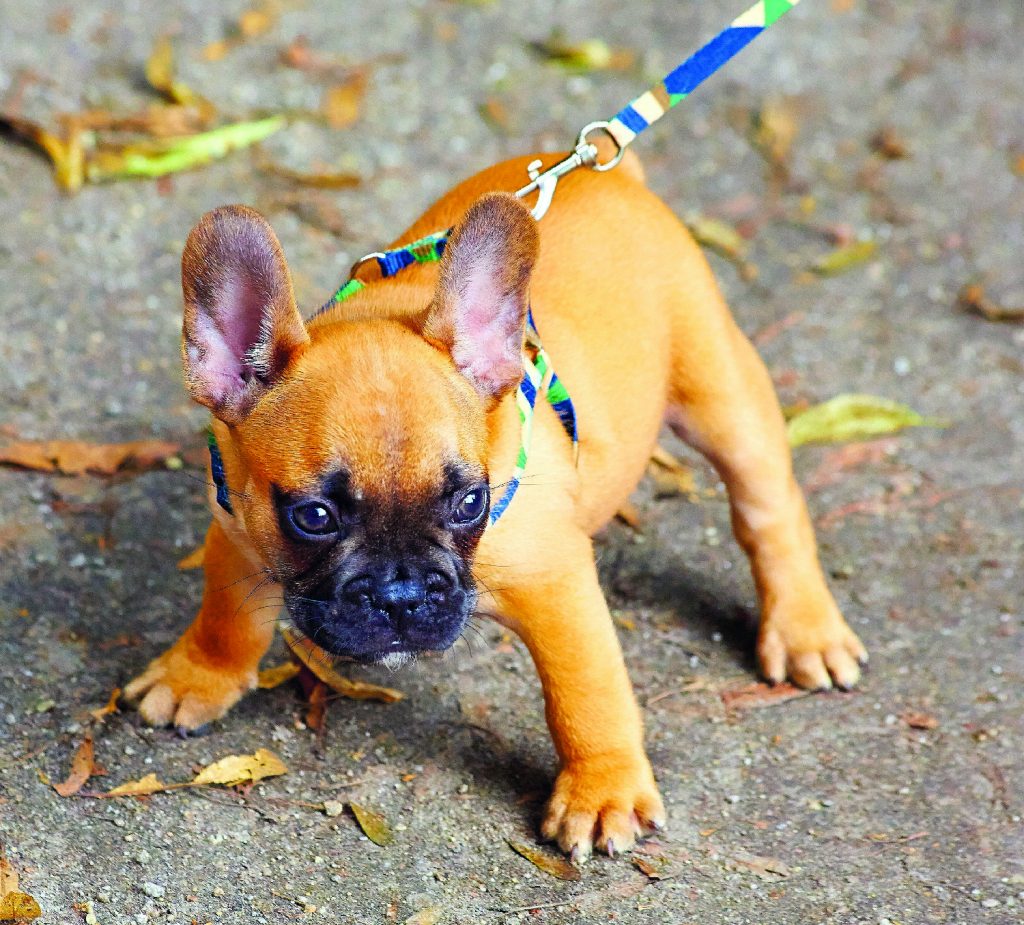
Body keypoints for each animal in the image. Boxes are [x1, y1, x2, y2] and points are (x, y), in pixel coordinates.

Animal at [123, 146, 868, 860]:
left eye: (469, 503)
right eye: (315, 517)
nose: (400, 593)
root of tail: (613, 172)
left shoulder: (556, 585)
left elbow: (586, 693)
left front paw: (602, 790)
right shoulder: (236, 523)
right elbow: (227, 614)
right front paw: (198, 675)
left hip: (719, 390)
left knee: (767, 505)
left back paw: (805, 628)